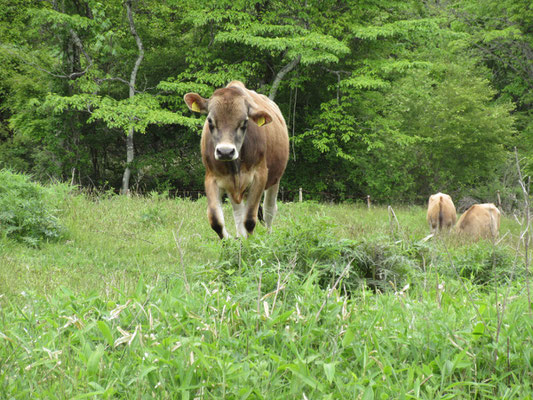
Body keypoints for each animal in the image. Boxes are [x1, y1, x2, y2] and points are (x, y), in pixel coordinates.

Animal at [185, 79, 288, 239]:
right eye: (210, 121)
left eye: (245, 122)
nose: (225, 151)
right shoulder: (212, 177)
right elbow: (216, 219)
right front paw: (230, 241)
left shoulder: (259, 176)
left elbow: (250, 219)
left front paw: (250, 241)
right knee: (238, 211)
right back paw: (240, 236)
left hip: (275, 179)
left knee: (269, 209)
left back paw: (267, 235)